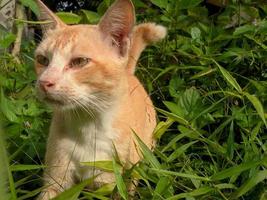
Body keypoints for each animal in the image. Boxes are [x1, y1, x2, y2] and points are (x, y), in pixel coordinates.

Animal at [34, 0, 166, 198]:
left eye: (79, 62)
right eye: (43, 60)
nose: (44, 82)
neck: (88, 126)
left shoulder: (116, 182)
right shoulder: (56, 178)